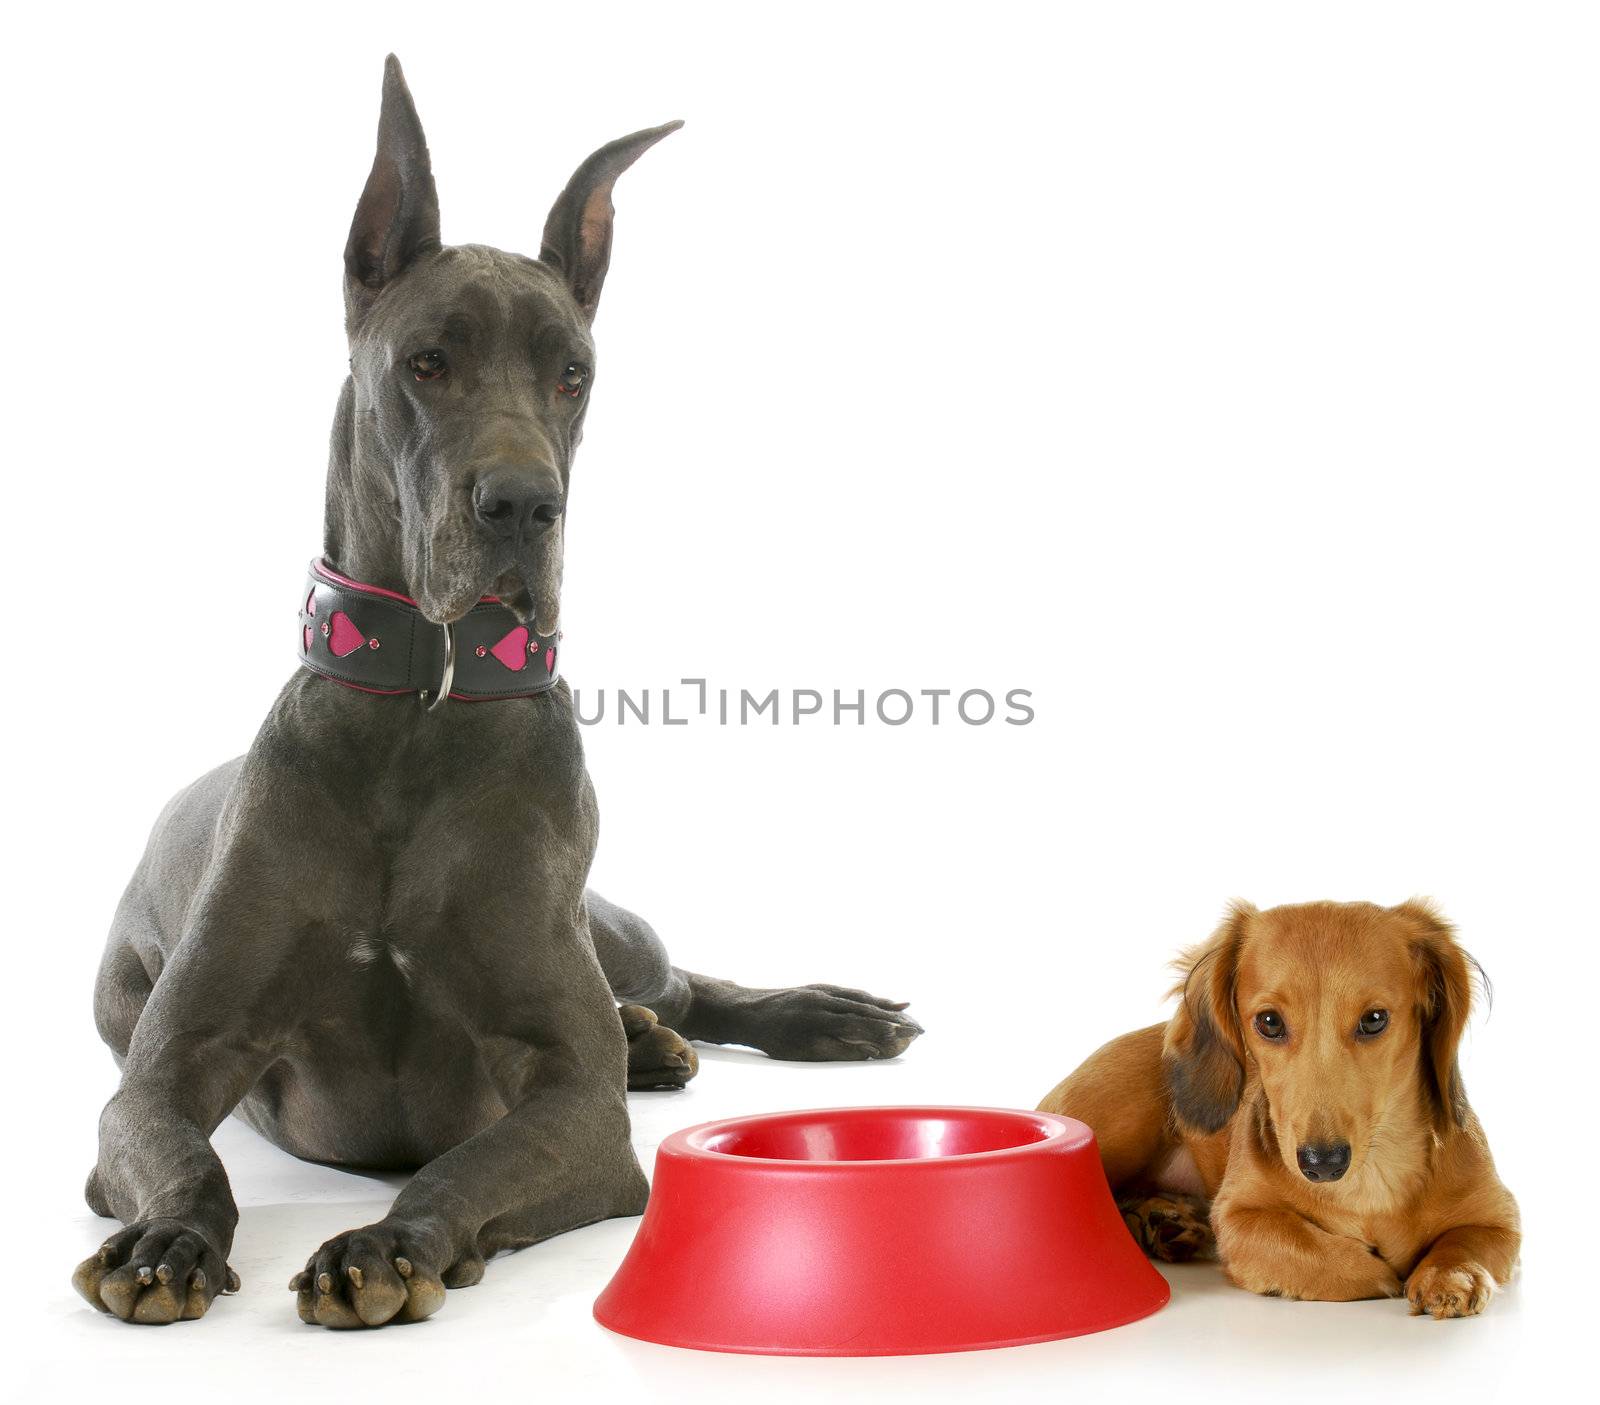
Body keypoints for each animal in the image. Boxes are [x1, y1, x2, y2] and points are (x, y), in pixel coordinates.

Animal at [75, 55, 928, 1331]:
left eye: (573, 374)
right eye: (425, 362)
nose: (524, 504)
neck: (421, 707)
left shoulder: (579, 1109)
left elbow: (467, 1162)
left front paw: (385, 1242)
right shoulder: (161, 1073)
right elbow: (180, 1150)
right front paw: (168, 1239)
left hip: (613, 929)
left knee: (689, 981)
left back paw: (790, 1018)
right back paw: (660, 1043)